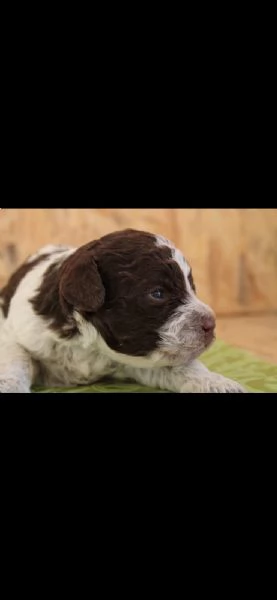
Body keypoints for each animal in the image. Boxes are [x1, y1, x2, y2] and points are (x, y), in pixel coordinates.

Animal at [0, 230, 244, 394]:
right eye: (158, 293)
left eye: (191, 287)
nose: (211, 325)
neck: (91, 346)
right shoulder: (15, 335)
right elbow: (16, 359)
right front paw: (10, 386)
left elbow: (183, 367)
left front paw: (218, 383)